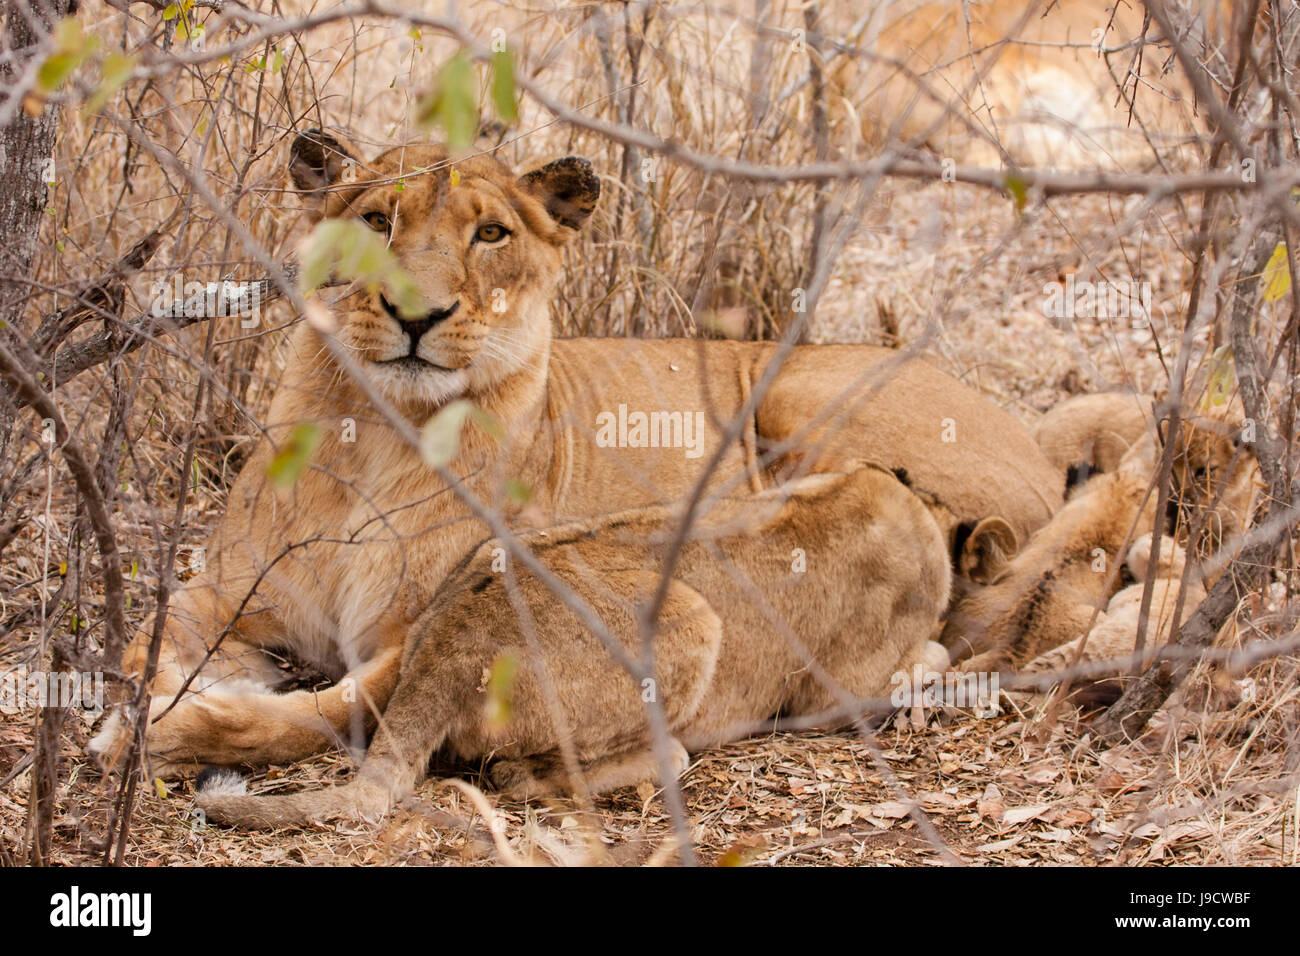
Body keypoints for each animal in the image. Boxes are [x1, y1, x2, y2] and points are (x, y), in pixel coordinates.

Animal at [90, 130, 1062, 790]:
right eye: (375, 219)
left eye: (489, 235)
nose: (416, 313)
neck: (372, 433)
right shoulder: (225, 595)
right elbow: (140, 647)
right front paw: (146, 700)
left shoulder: (416, 634)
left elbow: (317, 716)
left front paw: (170, 731)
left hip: (805, 405)